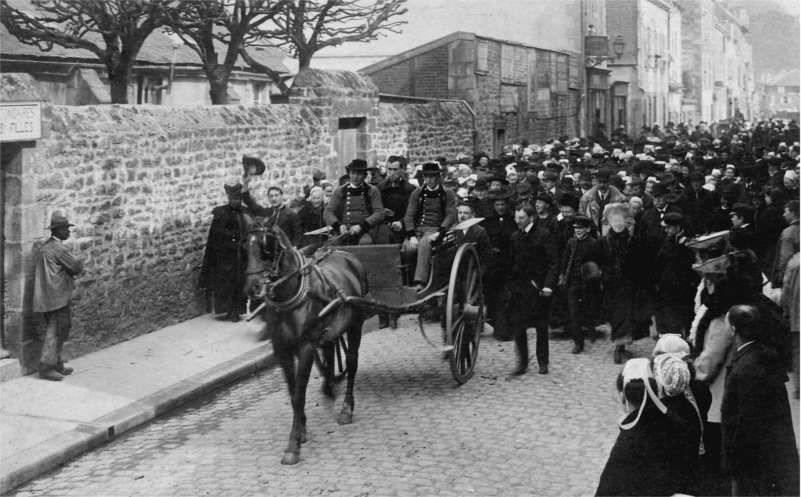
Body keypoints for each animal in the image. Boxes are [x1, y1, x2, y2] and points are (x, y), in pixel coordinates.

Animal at [244, 219, 368, 464]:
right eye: (244, 247)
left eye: (267, 246)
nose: (253, 287)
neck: (290, 298)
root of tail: (347, 255)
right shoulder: (281, 350)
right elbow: (293, 394)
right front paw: (301, 431)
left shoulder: (306, 348)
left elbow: (299, 394)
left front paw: (293, 445)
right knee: (330, 351)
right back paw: (329, 386)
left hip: (355, 324)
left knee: (351, 363)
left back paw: (346, 409)